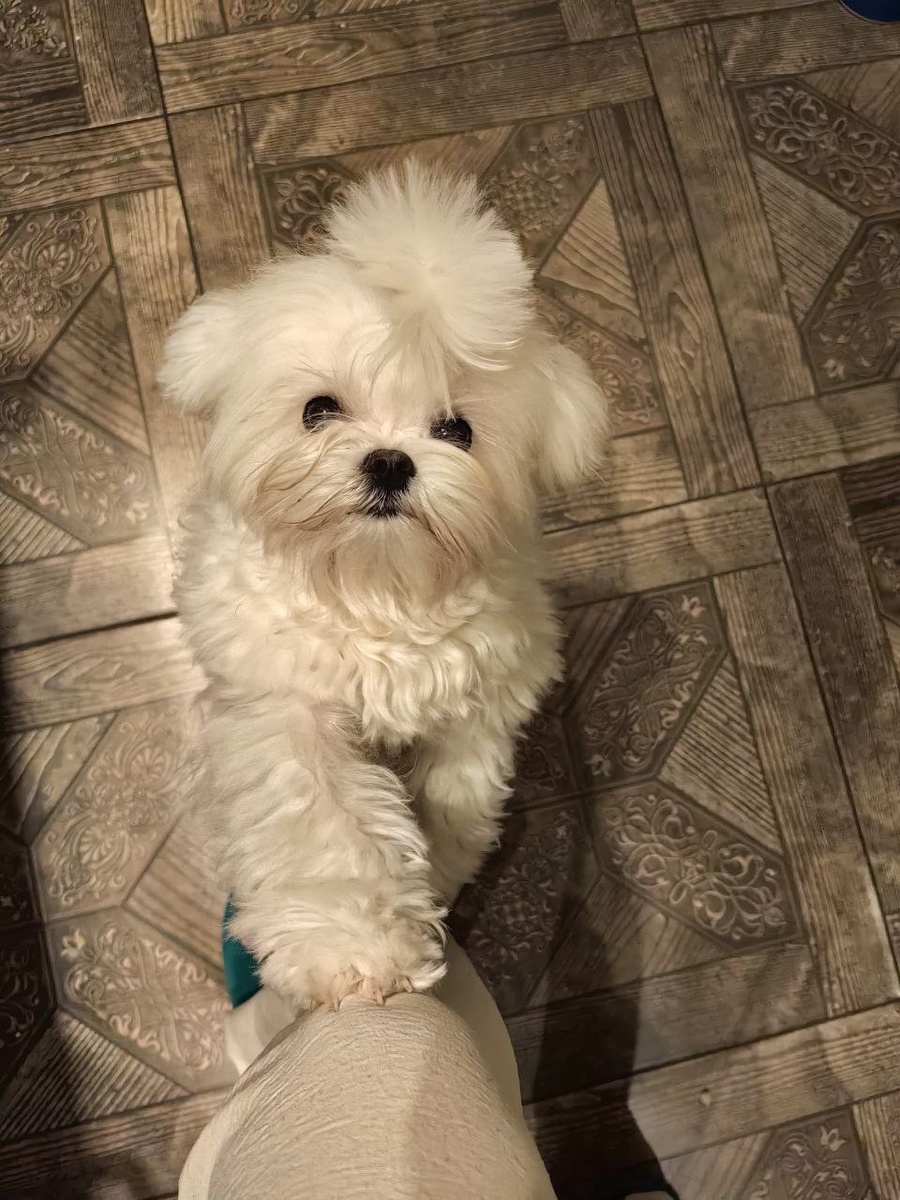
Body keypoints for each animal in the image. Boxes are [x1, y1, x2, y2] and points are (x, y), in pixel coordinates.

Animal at [158, 161, 608, 1011]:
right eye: (319, 409)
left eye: (456, 429)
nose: (391, 461)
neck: (376, 587)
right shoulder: (283, 707)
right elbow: (323, 822)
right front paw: (355, 948)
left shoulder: (481, 705)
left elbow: (453, 803)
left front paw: (431, 882)